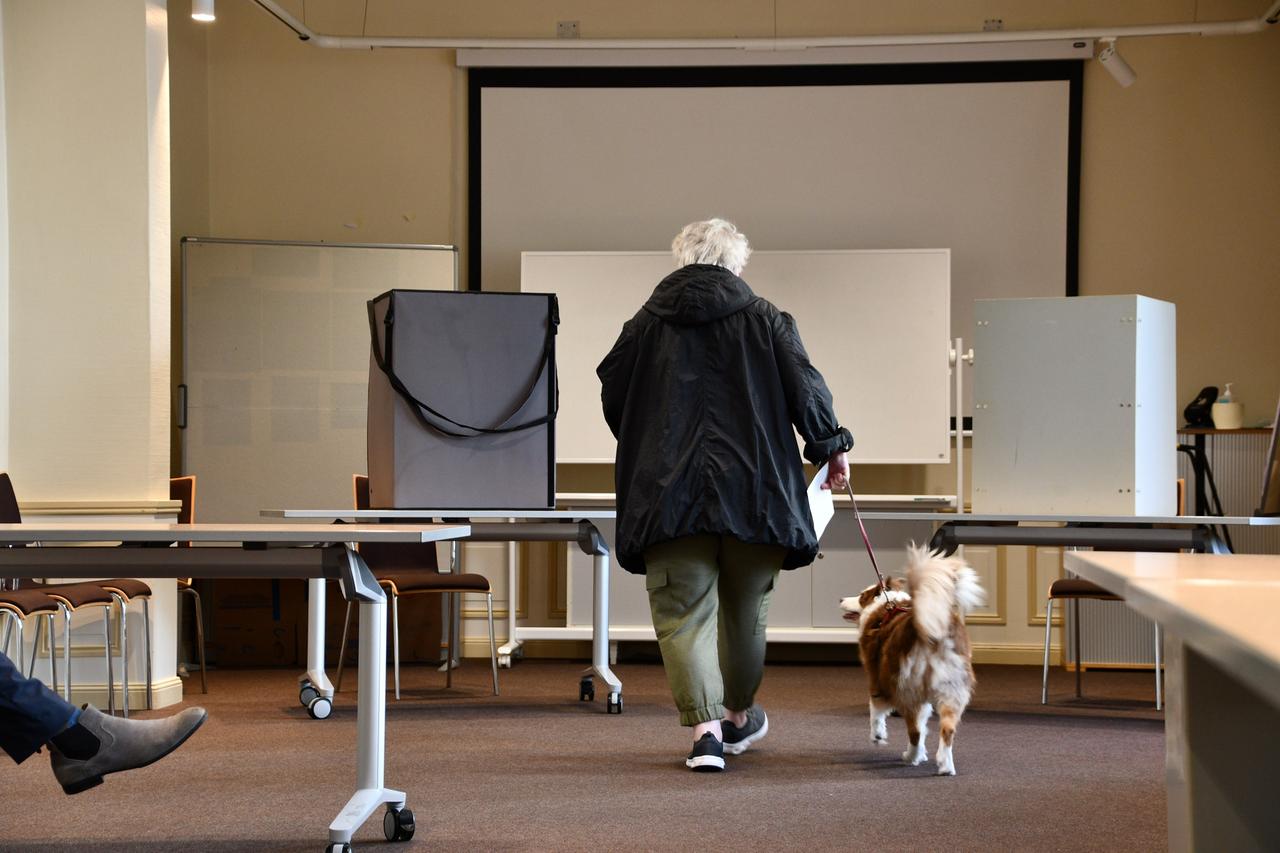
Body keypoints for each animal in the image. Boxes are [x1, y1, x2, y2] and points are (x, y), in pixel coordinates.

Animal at [834, 540, 983, 773]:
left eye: (861, 596)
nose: (841, 598)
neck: (885, 607)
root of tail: (930, 633)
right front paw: (923, 754)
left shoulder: (877, 678)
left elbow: (875, 711)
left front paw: (878, 736)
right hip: (952, 689)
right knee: (946, 730)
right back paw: (945, 766)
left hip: (907, 687)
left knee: (915, 731)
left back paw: (911, 757)